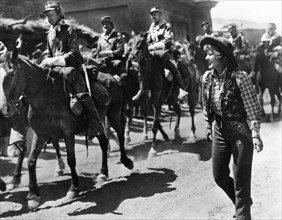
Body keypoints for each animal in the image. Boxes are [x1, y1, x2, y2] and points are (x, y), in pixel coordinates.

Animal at [0, 49, 133, 211]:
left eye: (12, 74)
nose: (5, 109)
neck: (46, 95)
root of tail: (113, 78)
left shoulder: (67, 133)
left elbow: (71, 160)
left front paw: (73, 189)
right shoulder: (41, 134)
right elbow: (31, 160)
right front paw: (33, 196)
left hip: (113, 114)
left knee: (120, 134)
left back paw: (126, 161)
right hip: (96, 124)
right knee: (103, 141)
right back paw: (103, 173)